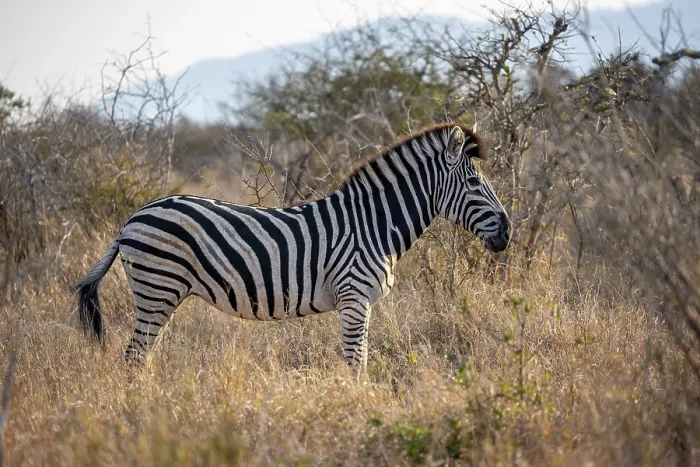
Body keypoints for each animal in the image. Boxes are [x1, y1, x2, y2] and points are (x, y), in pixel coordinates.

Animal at [73, 122, 511, 379]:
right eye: (474, 182)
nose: (507, 231)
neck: (373, 224)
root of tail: (130, 220)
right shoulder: (354, 298)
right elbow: (357, 365)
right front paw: (360, 408)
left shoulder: (358, 302)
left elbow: (360, 360)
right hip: (157, 287)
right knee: (134, 356)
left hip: (162, 292)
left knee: (141, 356)